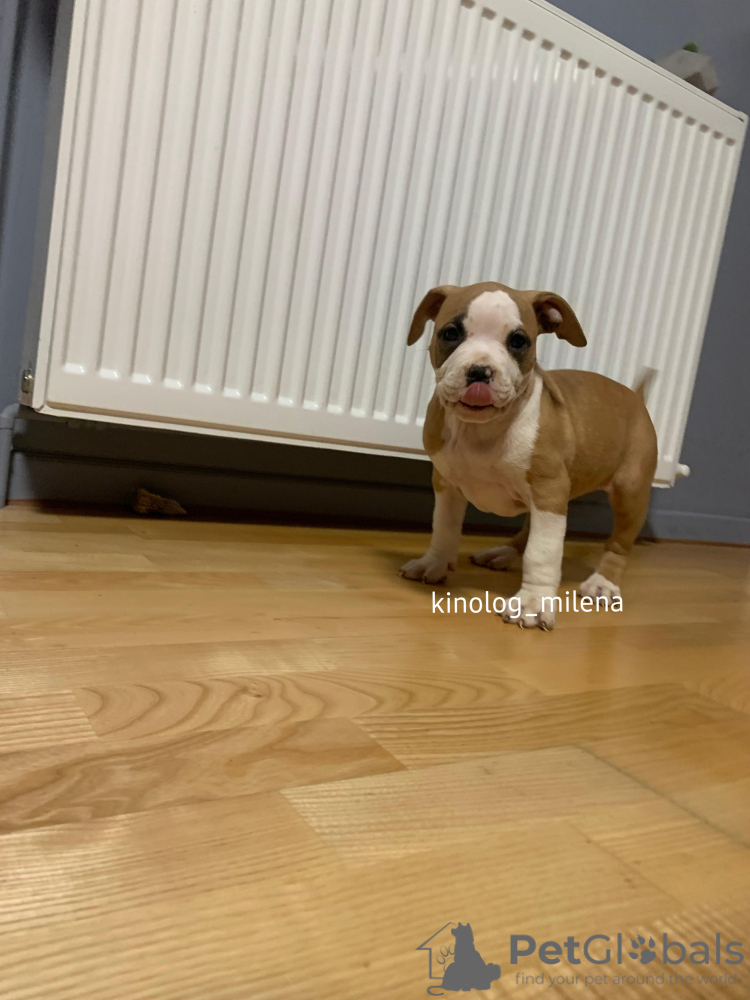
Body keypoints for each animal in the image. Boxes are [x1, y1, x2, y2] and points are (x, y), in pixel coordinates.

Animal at [399, 282, 657, 630]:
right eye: (450, 334)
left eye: (518, 341)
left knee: (619, 543)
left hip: (629, 492)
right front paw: (435, 563)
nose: (480, 371)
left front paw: (533, 602)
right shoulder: (447, 485)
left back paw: (603, 582)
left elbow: (543, 551)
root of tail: (636, 397)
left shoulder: (549, 491)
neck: (482, 430)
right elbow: (444, 527)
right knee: (528, 531)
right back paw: (503, 553)